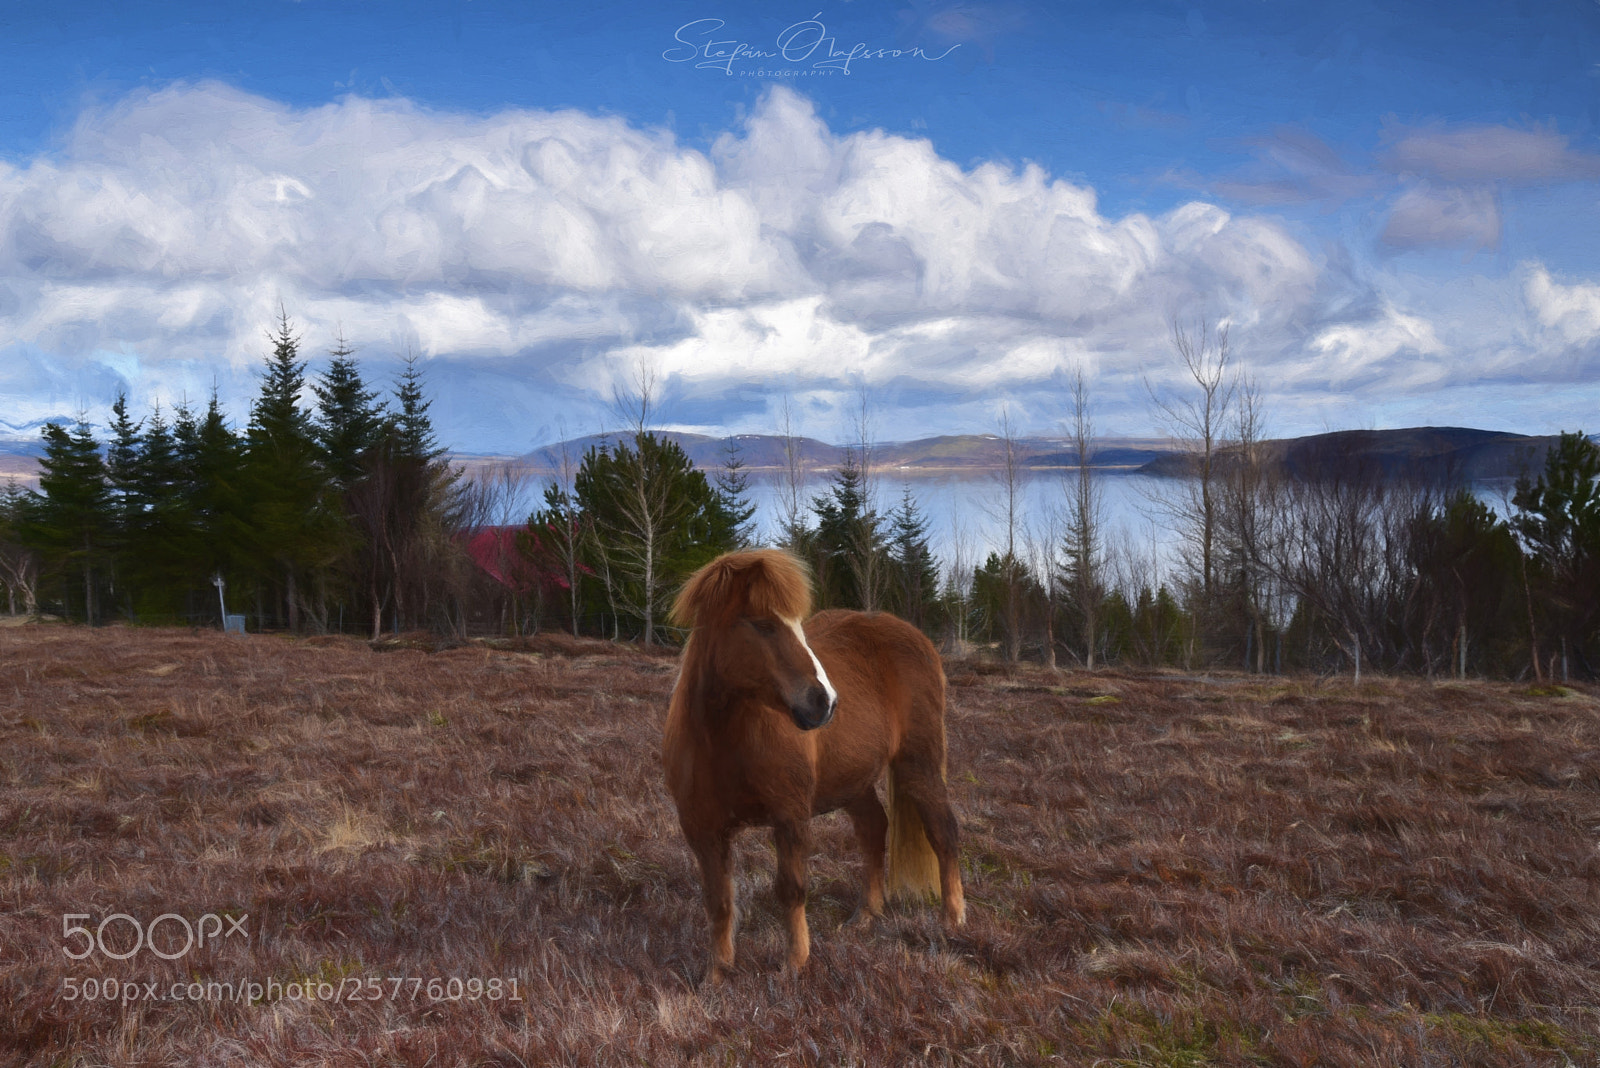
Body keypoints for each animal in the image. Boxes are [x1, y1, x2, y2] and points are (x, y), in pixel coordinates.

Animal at [661, 548, 965, 982]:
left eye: (798, 626)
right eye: (762, 624)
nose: (825, 702)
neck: (722, 743)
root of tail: (915, 637)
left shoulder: (790, 816)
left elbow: (791, 888)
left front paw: (794, 965)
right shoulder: (701, 829)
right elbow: (717, 899)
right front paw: (716, 975)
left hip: (918, 765)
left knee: (943, 832)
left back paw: (953, 920)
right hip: (854, 781)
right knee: (874, 830)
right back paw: (864, 917)